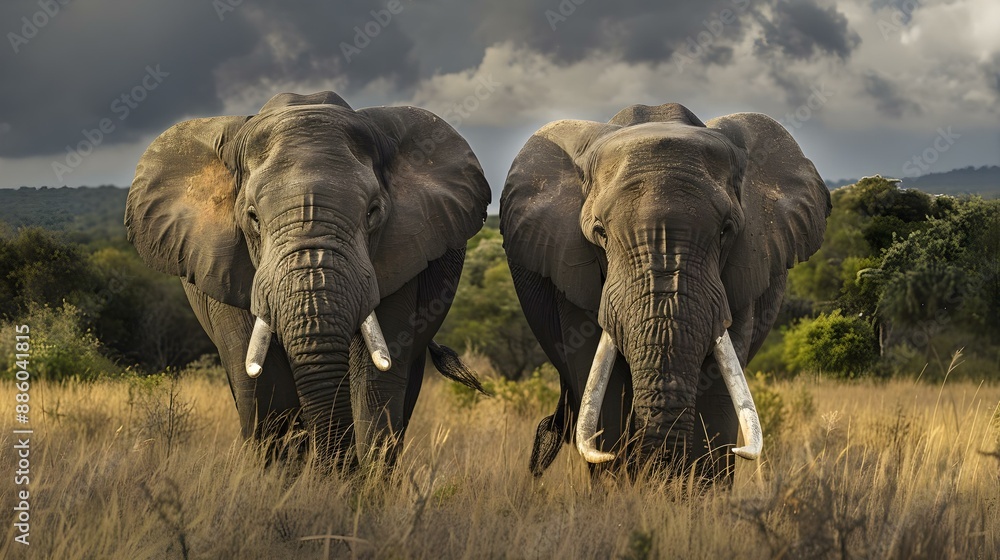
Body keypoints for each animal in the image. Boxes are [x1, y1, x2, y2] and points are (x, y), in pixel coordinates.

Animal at [125, 91, 491, 469]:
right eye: (252, 217)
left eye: (373, 212)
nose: (342, 470)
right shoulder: (224, 265)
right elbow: (263, 383)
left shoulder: (403, 256)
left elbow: (374, 379)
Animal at [500, 103, 830, 480]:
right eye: (600, 233)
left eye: (725, 231)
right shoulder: (569, 267)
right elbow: (603, 388)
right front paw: (615, 480)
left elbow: (718, 390)